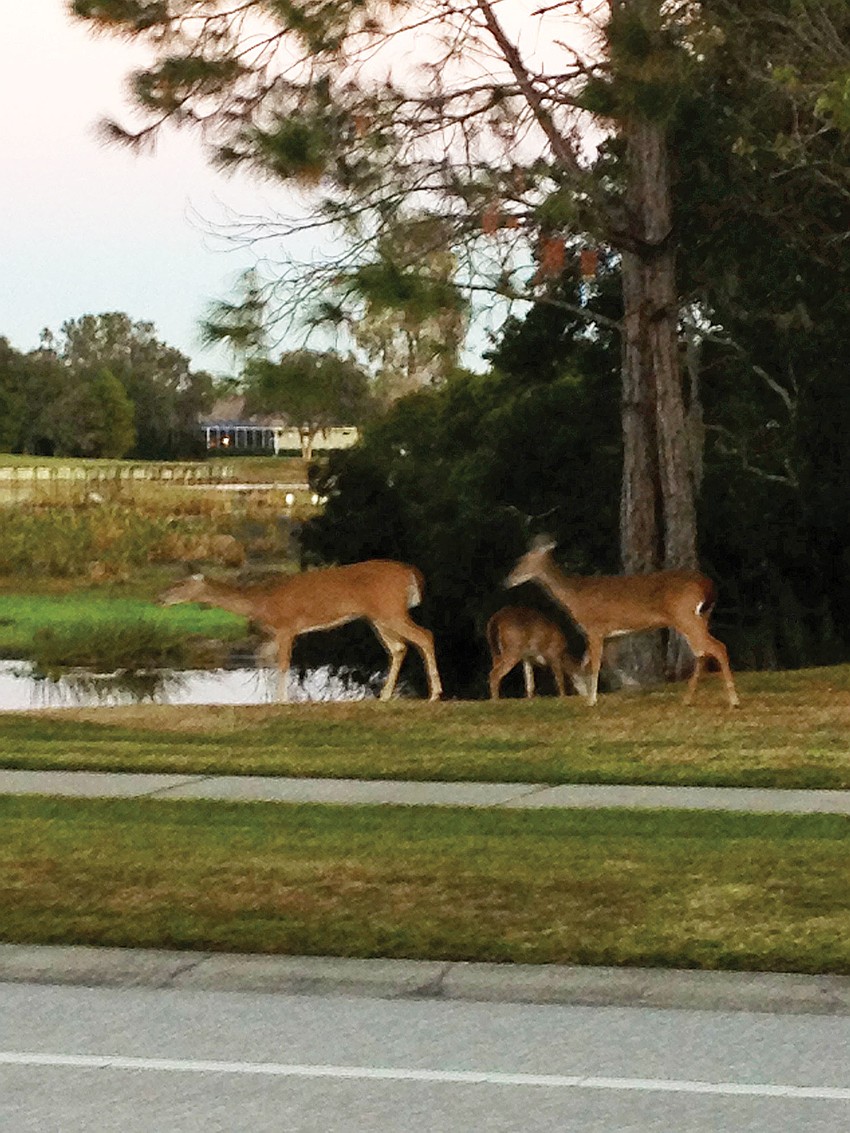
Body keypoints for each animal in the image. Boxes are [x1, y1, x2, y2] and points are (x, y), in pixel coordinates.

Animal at [159, 560, 443, 703]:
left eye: (179, 584)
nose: (161, 597)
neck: (261, 602)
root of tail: (412, 573)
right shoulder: (275, 633)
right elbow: (262, 657)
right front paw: (265, 699)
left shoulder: (287, 627)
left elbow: (284, 663)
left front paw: (282, 701)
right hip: (376, 616)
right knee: (399, 647)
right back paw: (384, 696)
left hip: (390, 608)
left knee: (425, 635)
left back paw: (434, 694)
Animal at [506, 537, 739, 708]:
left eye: (522, 560)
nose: (507, 580)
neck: (576, 597)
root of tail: (708, 586)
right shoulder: (611, 635)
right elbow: (591, 663)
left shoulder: (595, 628)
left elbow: (595, 664)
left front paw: (591, 700)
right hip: (700, 617)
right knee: (703, 653)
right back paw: (687, 699)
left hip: (685, 616)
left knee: (717, 647)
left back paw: (733, 700)